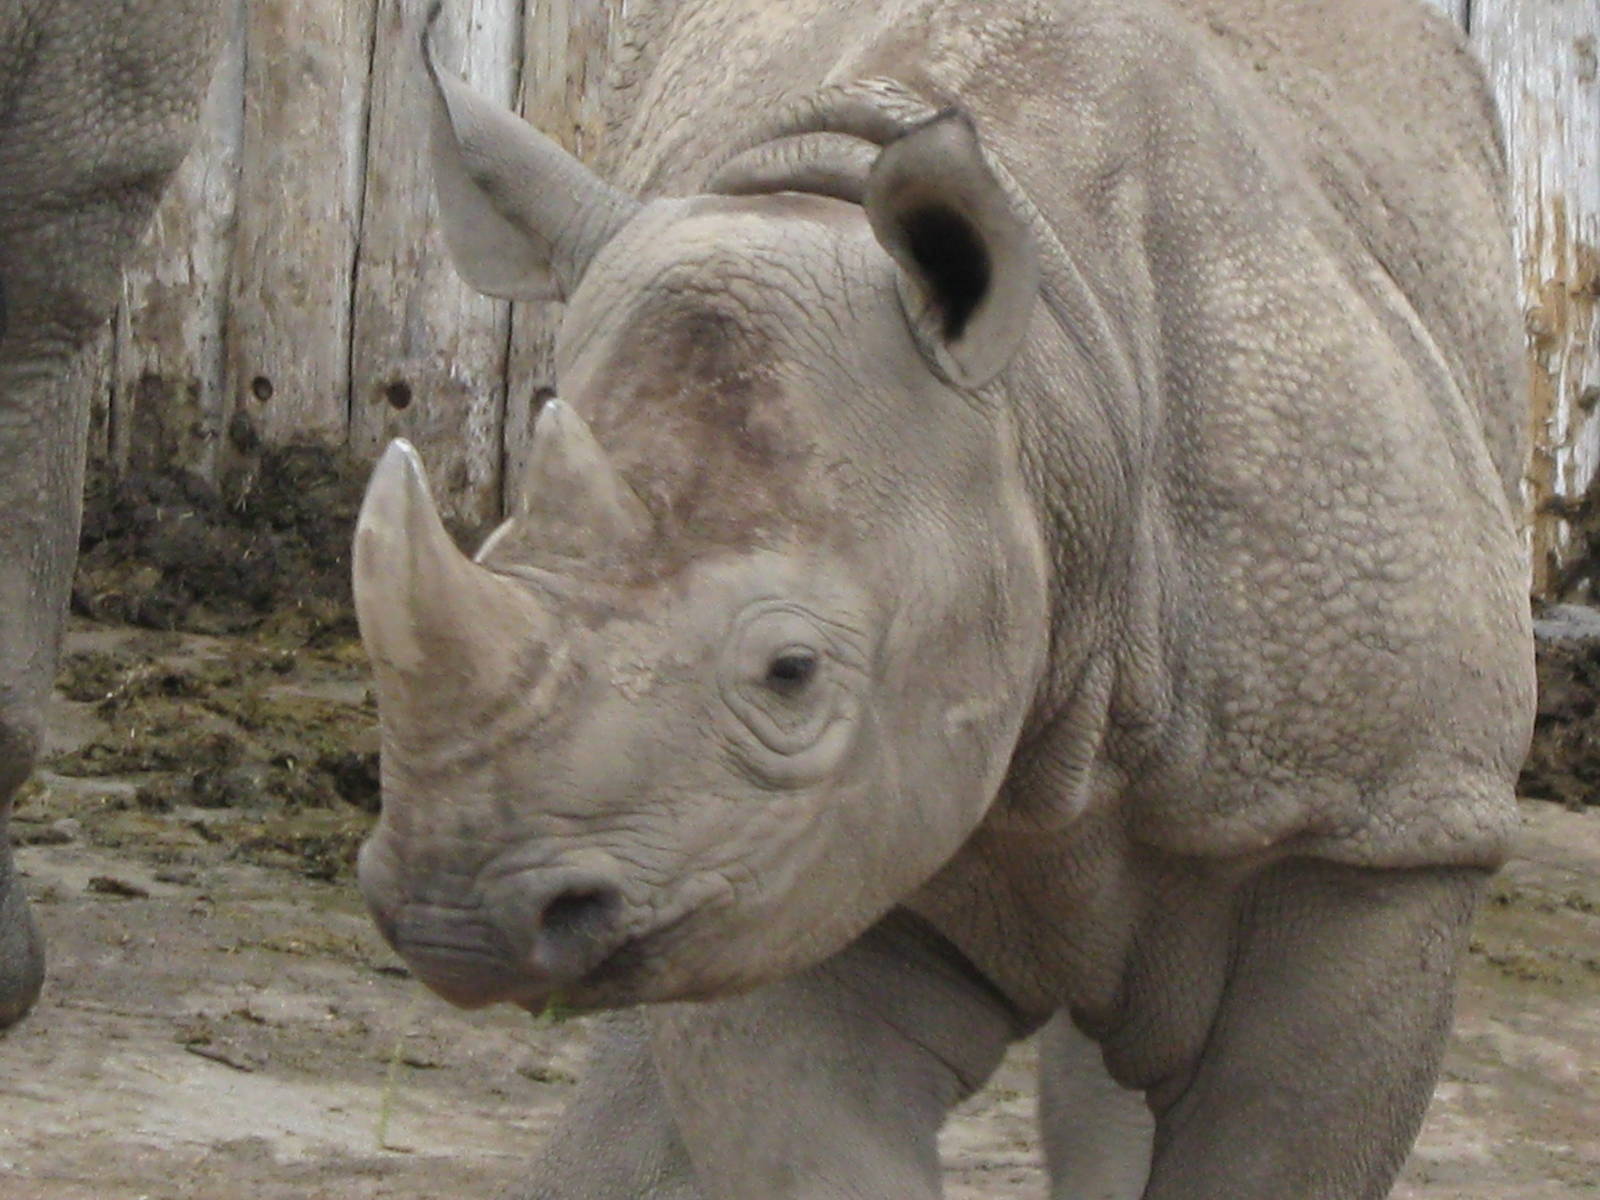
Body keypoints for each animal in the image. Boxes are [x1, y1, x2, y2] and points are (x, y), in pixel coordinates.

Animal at [353, 1, 1535, 1195]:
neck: (1042, 398)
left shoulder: (1383, 824)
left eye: (793, 674)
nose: (453, 918)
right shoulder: (758, 854)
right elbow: (806, 1138)